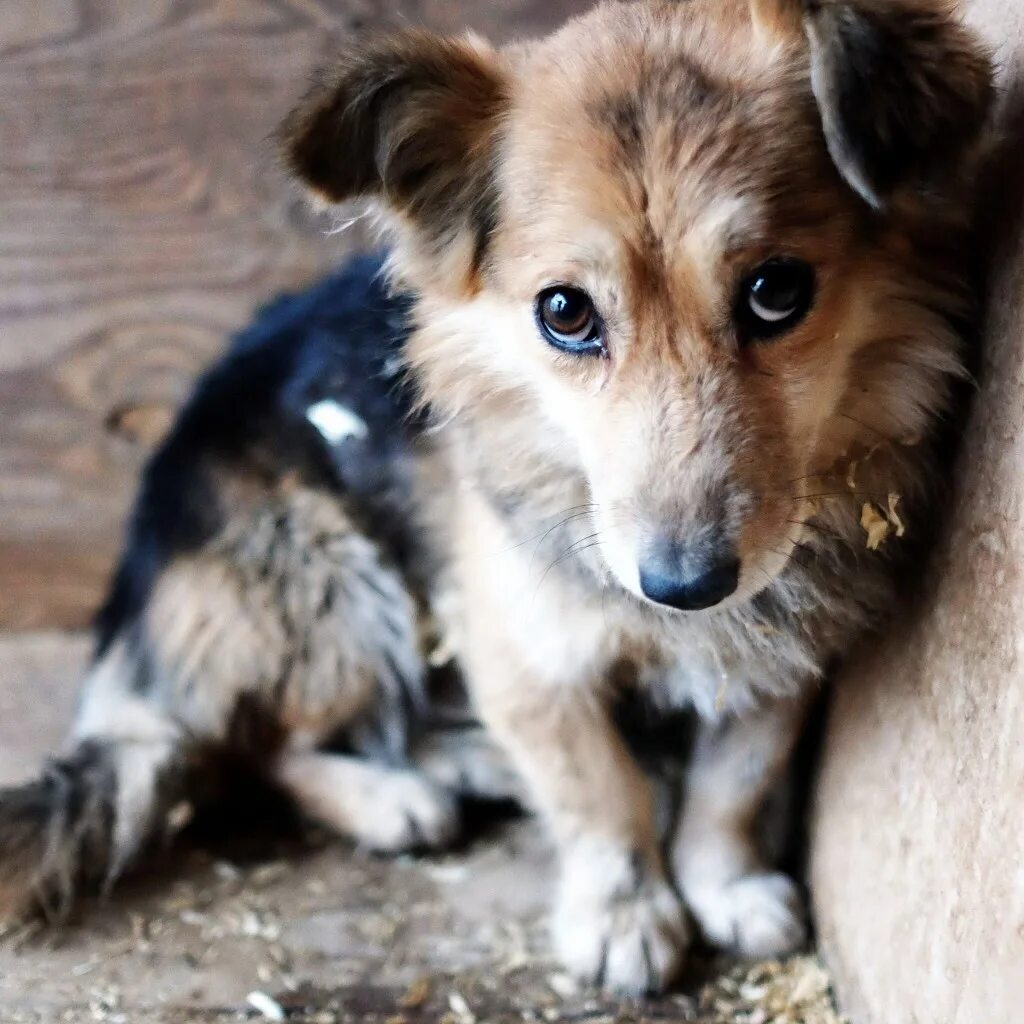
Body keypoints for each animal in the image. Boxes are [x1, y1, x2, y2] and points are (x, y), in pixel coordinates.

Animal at [0, 0, 991, 999]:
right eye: (565, 312)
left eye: (778, 290)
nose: (686, 587)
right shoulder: (526, 646)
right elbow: (599, 793)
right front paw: (623, 911)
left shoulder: (787, 641)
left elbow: (735, 777)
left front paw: (726, 883)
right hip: (329, 577)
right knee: (261, 746)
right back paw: (393, 797)